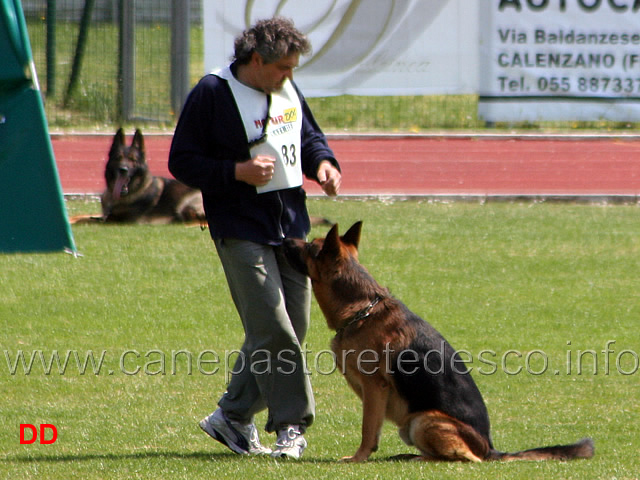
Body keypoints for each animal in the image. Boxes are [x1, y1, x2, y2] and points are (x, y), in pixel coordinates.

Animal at [284, 223, 596, 464]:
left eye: (310, 246)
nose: (284, 239)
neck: (362, 309)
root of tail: (490, 448)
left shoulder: (375, 387)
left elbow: (368, 430)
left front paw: (358, 457)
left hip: (424, 420)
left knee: (466, 458)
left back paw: (420, 458)